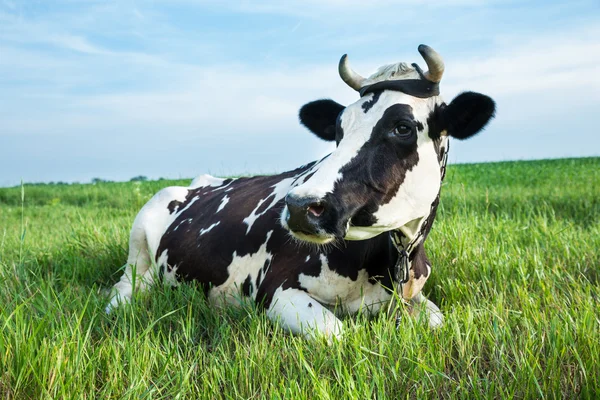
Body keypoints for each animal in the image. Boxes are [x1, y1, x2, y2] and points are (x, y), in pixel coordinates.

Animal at [105, 45, 494, 340]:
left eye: (402, 127)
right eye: (338, 128)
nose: (300, 206)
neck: (389, 262)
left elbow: (437, 321)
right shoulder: (276, 291)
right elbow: (337, 334)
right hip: (139, 239)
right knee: (125, 286)